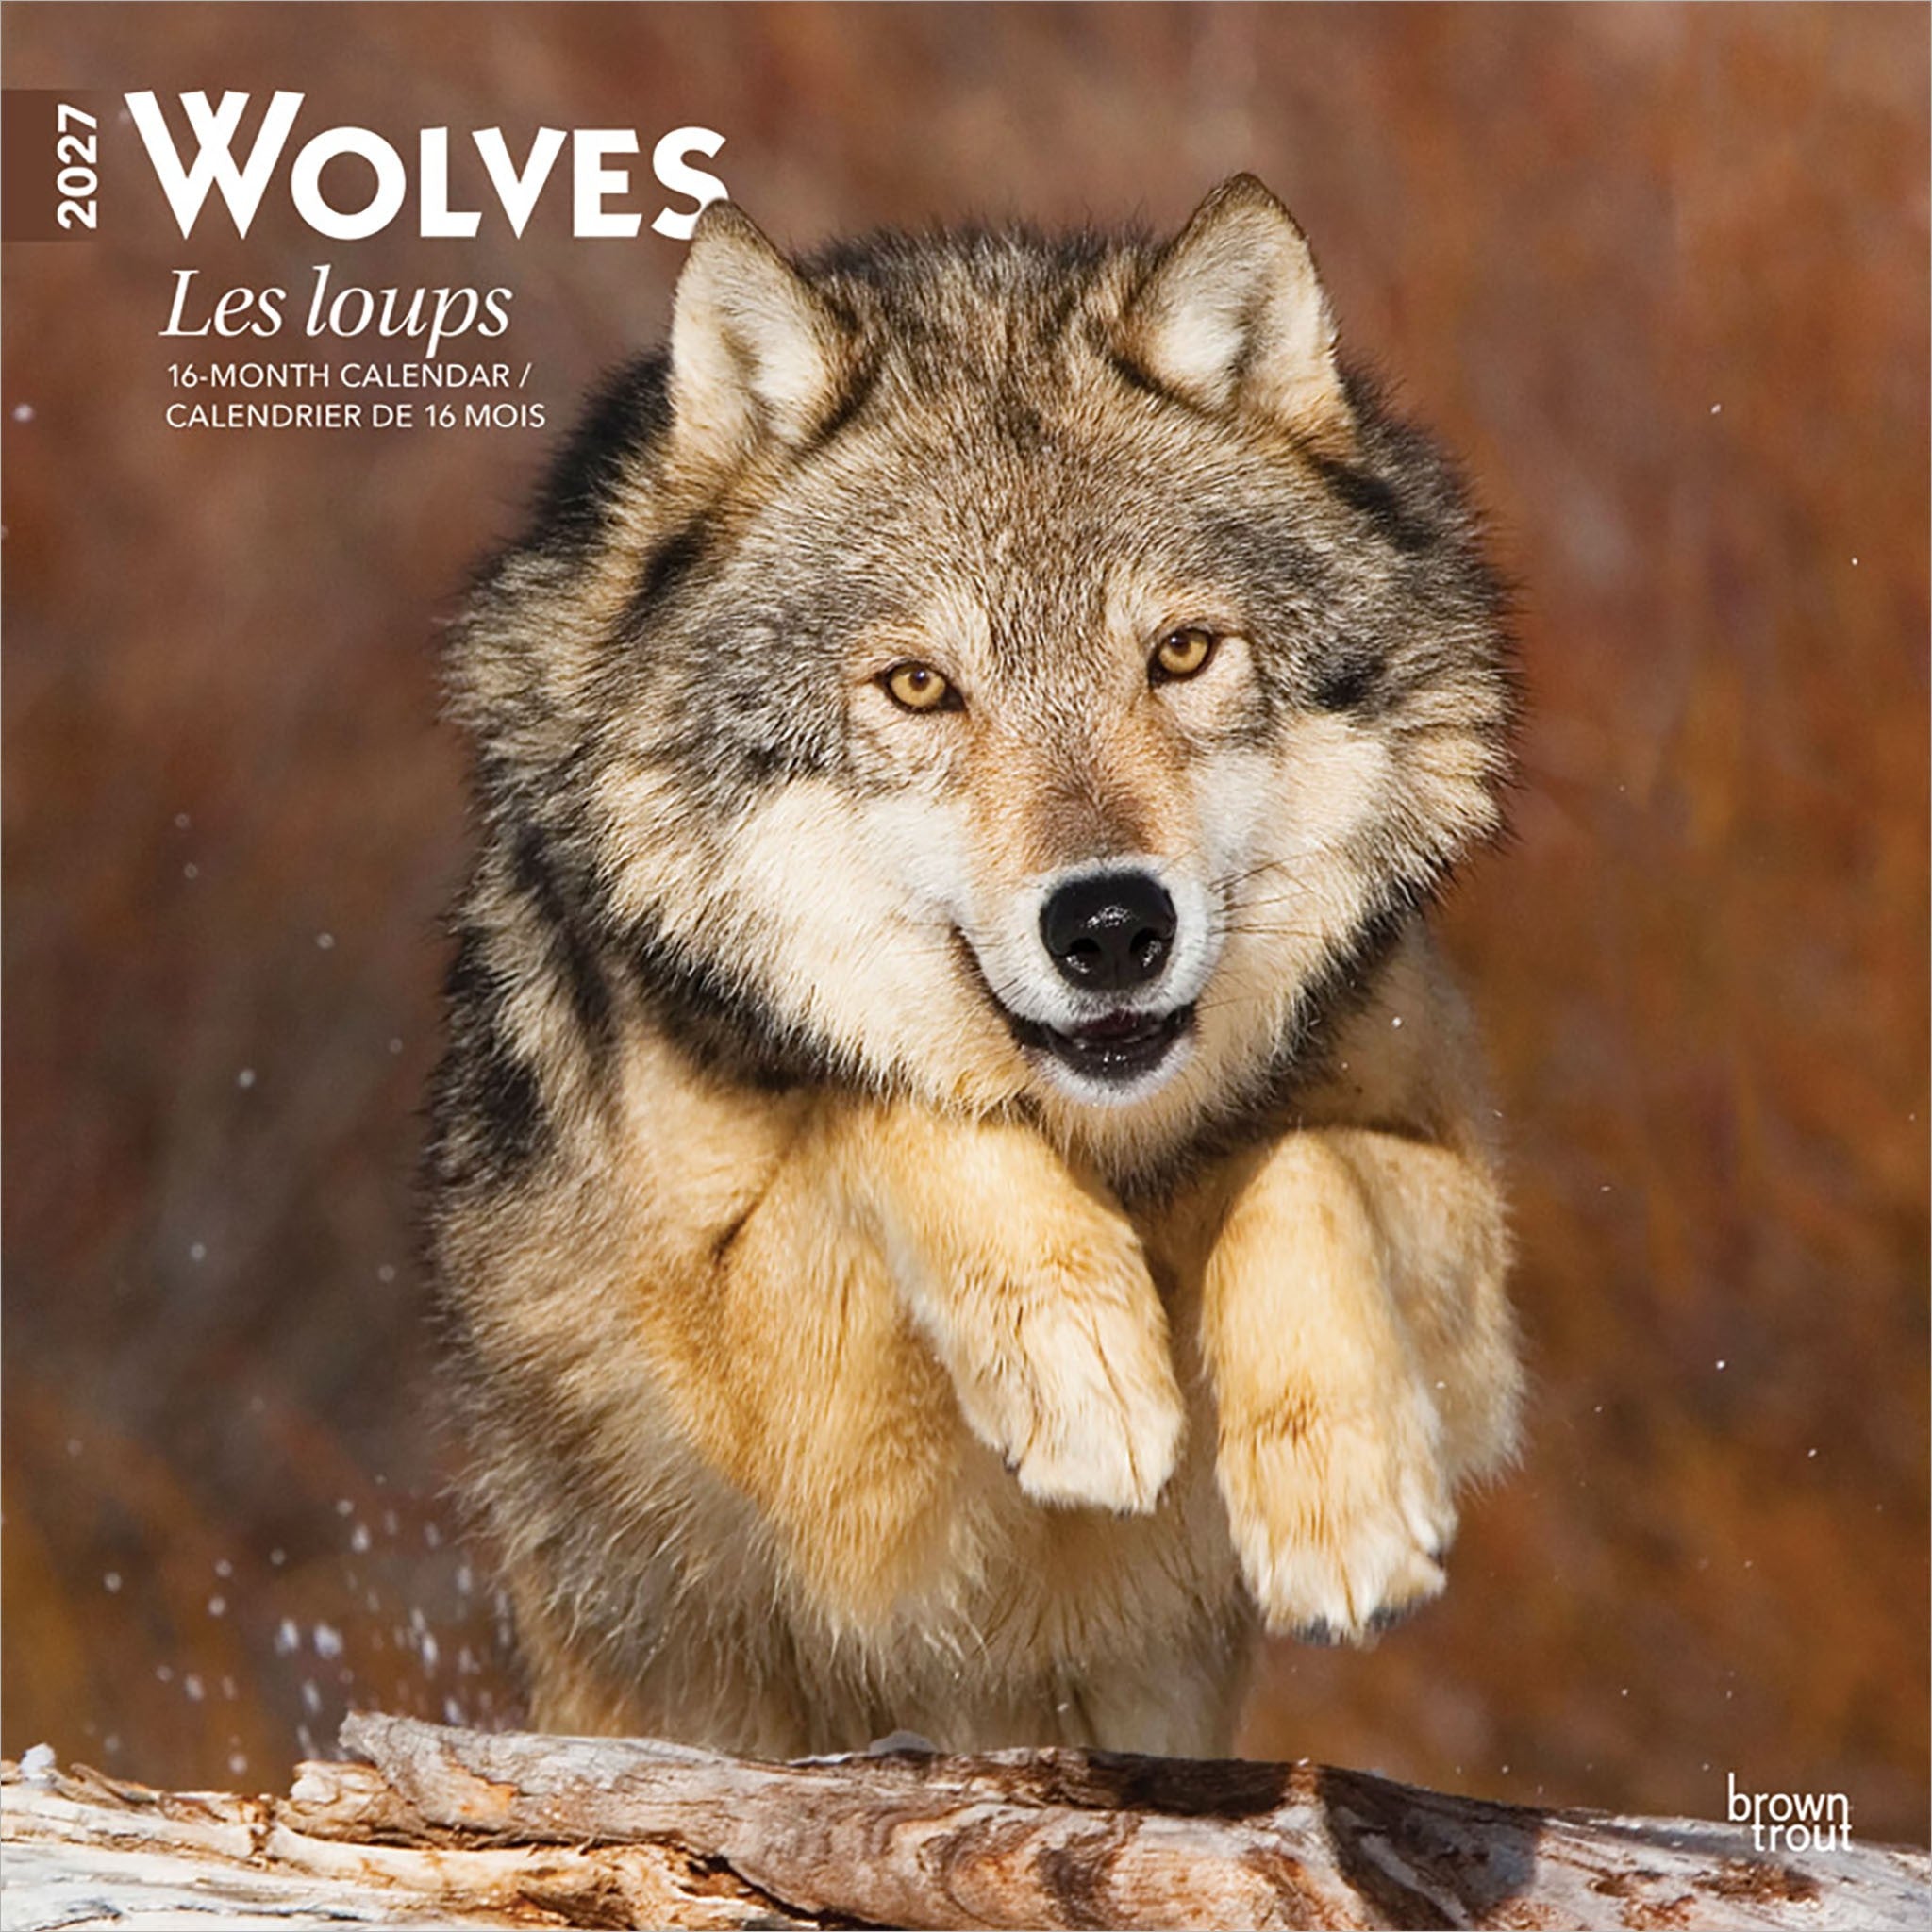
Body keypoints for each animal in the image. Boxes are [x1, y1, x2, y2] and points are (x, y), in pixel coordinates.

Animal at [428, 175, 1522, 1759]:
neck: (1108, 1148)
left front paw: (1343, 1506)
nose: (1113, 926)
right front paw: (1081, 1353)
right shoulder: (799, 1451)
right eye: (918, 687)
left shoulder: (1465, 1249)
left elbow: (1294, 1164)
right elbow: (878, 1105)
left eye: (1181, 653)